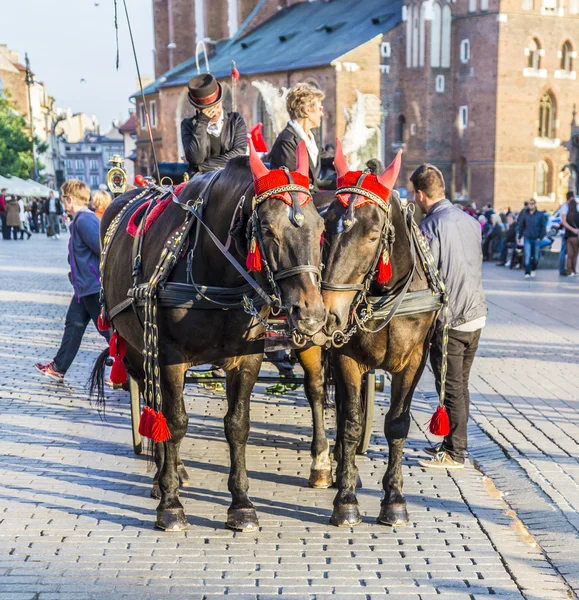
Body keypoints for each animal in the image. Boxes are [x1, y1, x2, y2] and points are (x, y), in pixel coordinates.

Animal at [90, 144, 326, 528]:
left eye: (320, 226)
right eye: (267, 228)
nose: (310, 315)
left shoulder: (247, 358)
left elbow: (237, 425)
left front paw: (241, 503)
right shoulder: (169, 358)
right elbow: (174, 422)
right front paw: (170, 503)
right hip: (137, 350)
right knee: (154, 406)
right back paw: (164, 475)